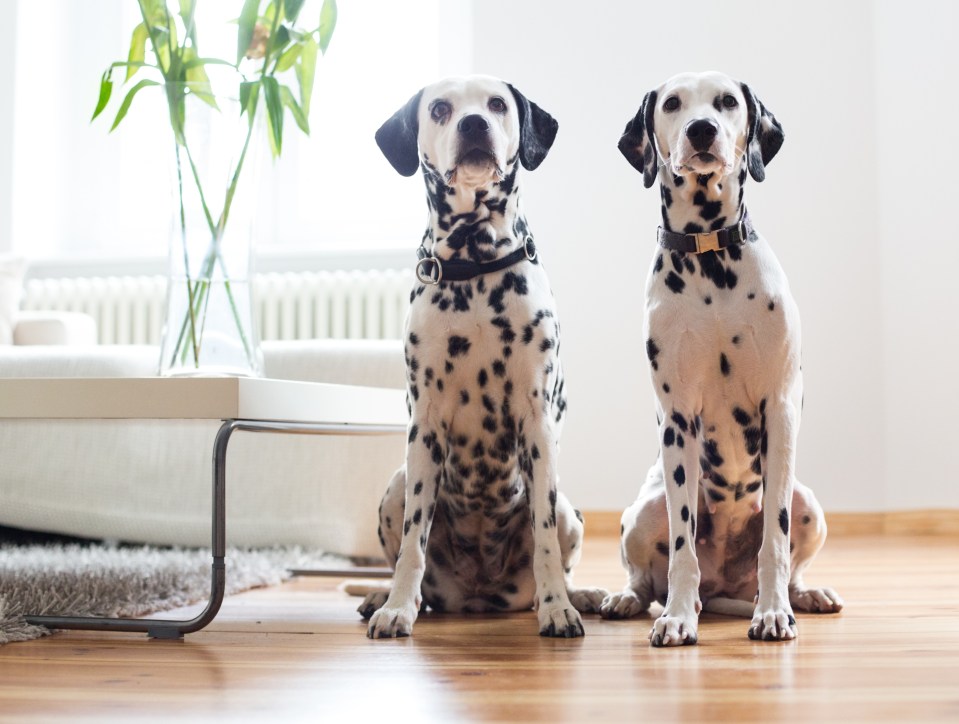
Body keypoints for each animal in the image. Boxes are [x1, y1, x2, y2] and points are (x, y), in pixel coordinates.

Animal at [360, 73, 608, 640]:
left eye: (496, 103)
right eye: (440, 109)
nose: (474, 124)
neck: (474, 266)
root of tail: (477, 595)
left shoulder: (537, 425)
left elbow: (543, 540)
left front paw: (557, 608)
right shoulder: (424, 429)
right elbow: (412, 545)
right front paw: (397, 607)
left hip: (570, 509)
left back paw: (577, 595)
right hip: (395, 486)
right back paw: (385, 595)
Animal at [604, 72, 844, 644]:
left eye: (727, 101)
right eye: (672, 103)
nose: (702, 129)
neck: (710, 255)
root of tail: (723, 588)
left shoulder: (779, 411)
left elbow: (774, 542)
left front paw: (775, 612)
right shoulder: (678, 421)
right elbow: (681, 549)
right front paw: (676, 617)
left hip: (809, 503)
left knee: (789, 555)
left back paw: (803, 595)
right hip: (644, 509)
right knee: (645, 572)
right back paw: (631, 599)